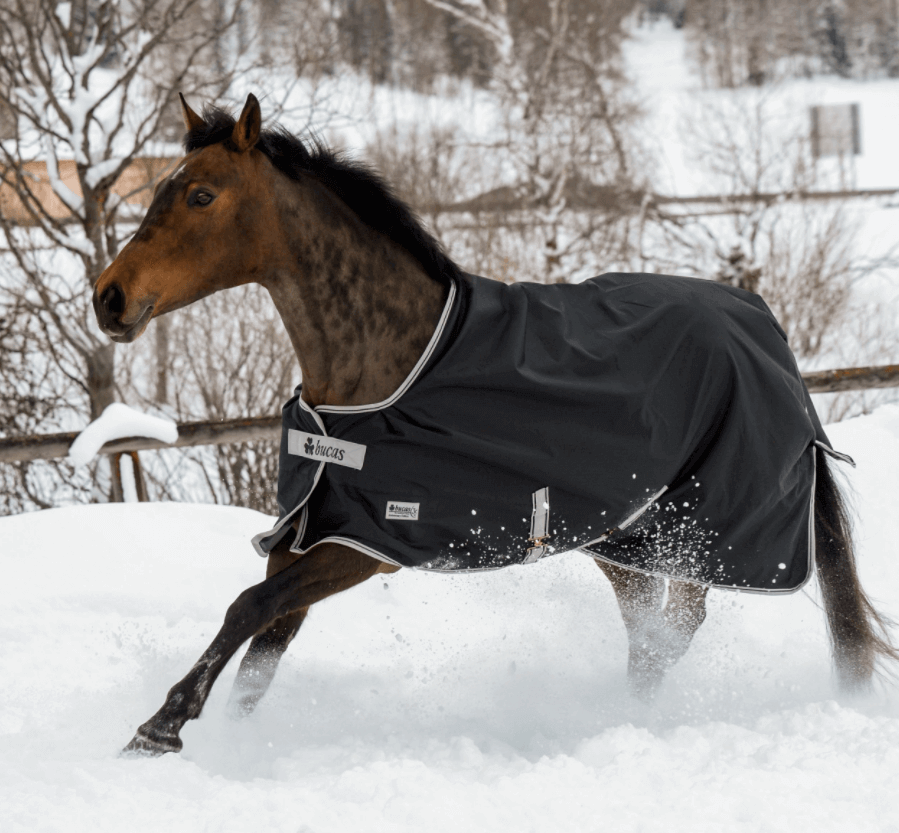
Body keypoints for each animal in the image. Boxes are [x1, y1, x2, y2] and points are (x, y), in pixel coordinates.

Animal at [92, 93, 898, 757]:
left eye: (200, 194)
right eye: (159, 189)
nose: (109, 298)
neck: (383, 368)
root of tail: (765, 328)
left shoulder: (367, 544)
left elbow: (246, 610)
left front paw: (159, 726)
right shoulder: (312, 531)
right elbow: (265, 647)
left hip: (701, 532)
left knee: (675, 628)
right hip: (624, 538)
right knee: (650, 636)